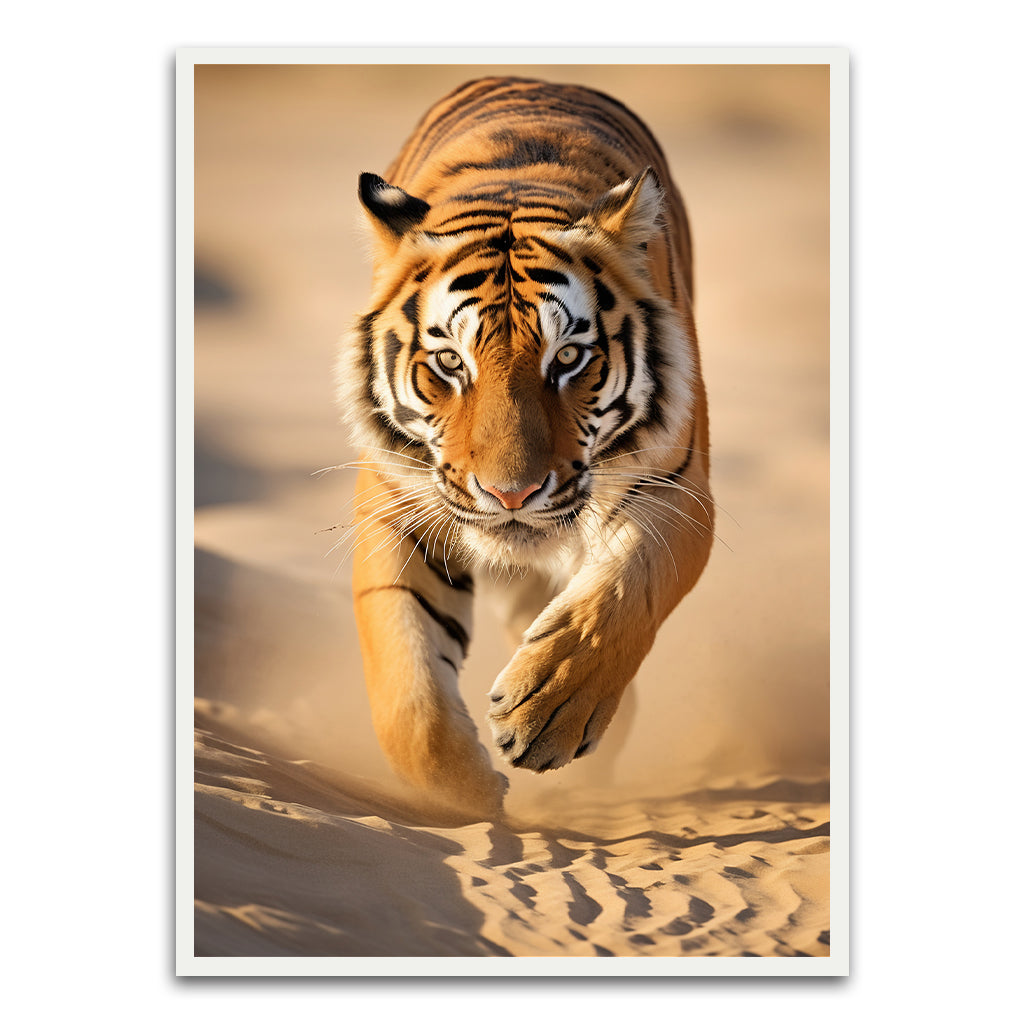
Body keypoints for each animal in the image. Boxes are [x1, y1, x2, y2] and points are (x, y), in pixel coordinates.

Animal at [337, 77, 713, 820]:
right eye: (450, 362)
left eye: (567, 358)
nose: (510, 494)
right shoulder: (397, 507)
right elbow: (407, 689)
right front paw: (471, 791)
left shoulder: (679, 488)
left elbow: (621, 595)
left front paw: (548, 712)